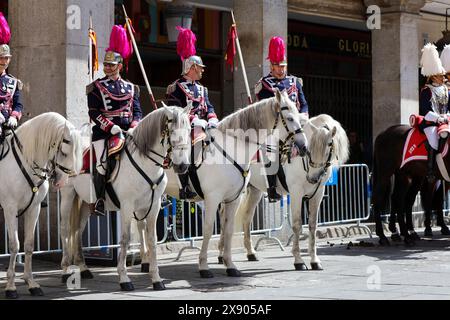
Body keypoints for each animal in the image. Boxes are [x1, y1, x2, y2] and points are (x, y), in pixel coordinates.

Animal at [0, 112, 82, 298]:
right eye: (64, 151)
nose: (63, 182)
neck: (26, 162)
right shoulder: (10, 208)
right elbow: (14, 245)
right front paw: (10, 287)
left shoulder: (34, 208)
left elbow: (29, 245)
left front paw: (31, 283)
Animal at [140, 89, 310, 278]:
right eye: (290, 118)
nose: (304, 146)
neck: (231, 150)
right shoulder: (212, 198)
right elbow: (208, 230)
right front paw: (204, 266)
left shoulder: (233, 199)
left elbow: (227, 230)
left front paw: (230, 265)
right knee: (142, 226)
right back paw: (146, 262)